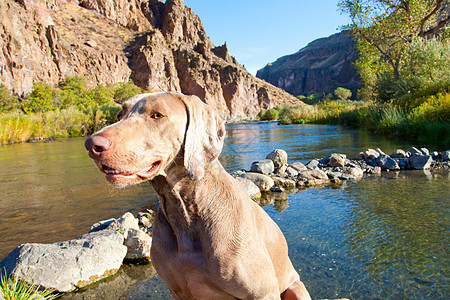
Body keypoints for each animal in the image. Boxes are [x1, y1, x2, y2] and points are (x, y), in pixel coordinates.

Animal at [85, 92, 310, 300]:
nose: (91, 145)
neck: (185, 210)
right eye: (119, 115)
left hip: (295, 289)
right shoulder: (179, 292)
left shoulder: (262, 293)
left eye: (157, 115)